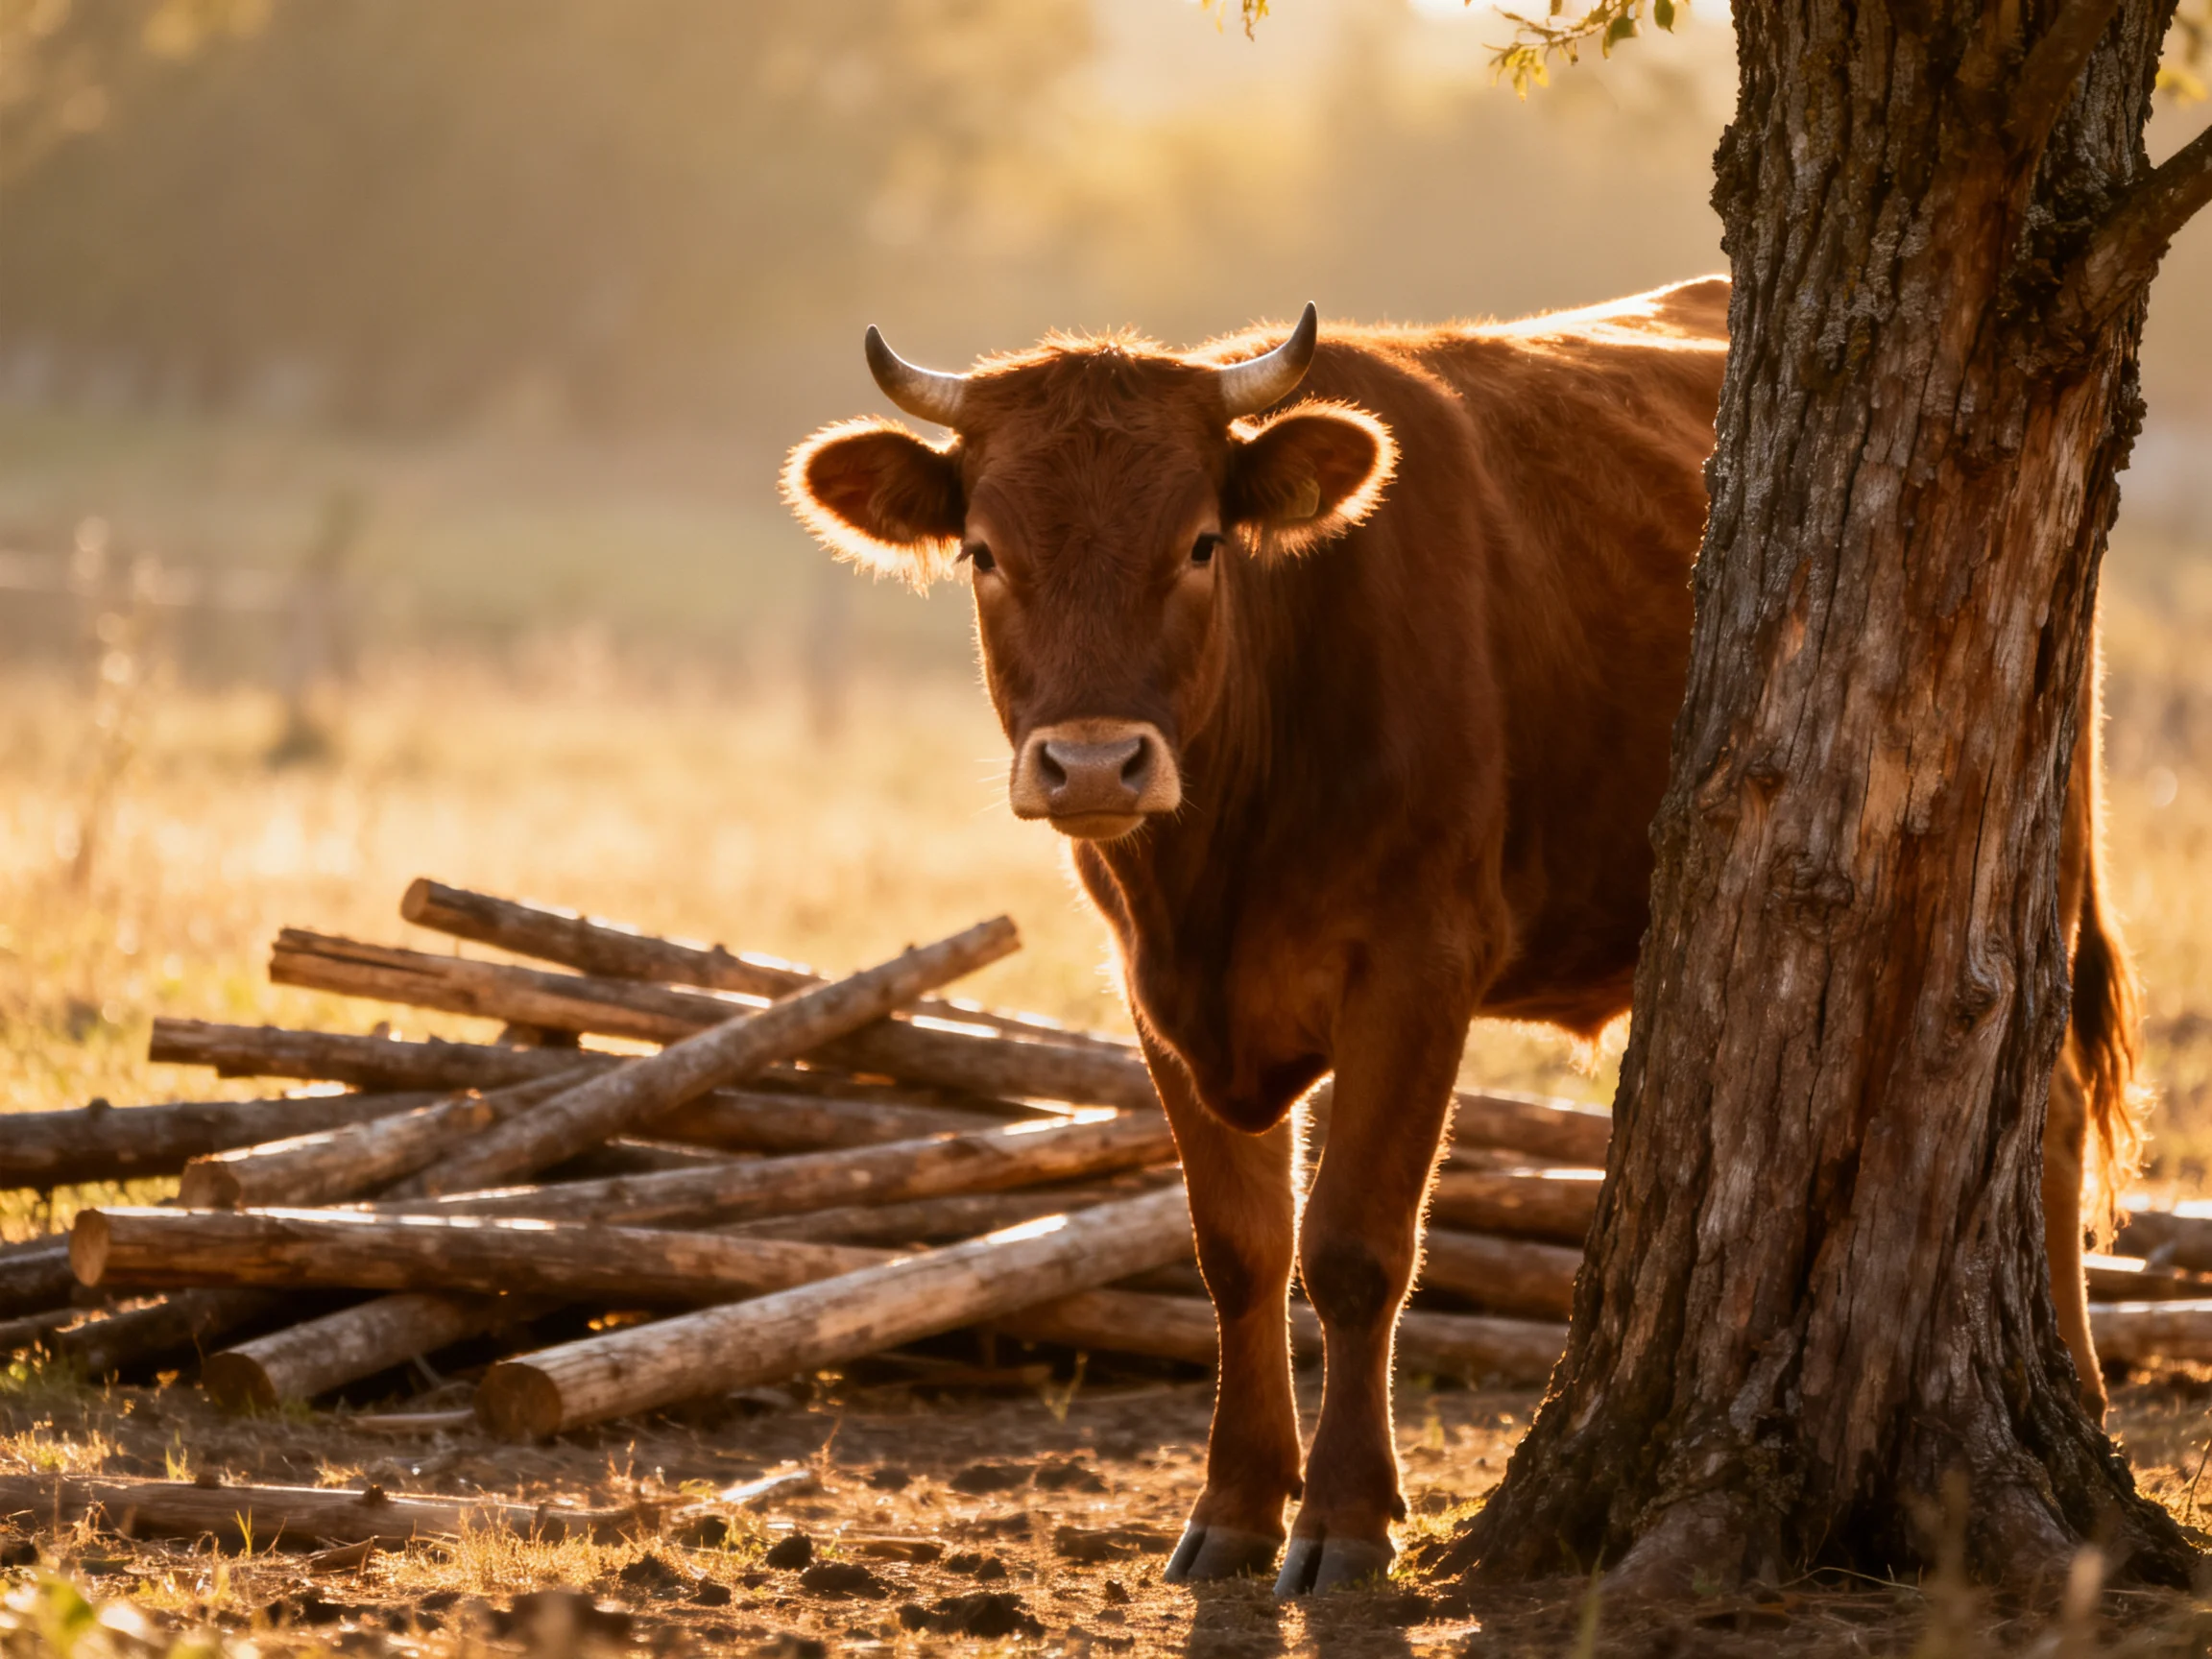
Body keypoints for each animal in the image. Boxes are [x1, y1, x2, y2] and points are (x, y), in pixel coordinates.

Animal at [782, 277, 2143, 1596]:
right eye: (985, 551)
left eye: (1201, 543)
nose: (1093, 763)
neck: (1222, 858)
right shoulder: (1156, 996)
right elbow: (1238, 1252)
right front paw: (1234, 1509)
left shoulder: (1419, 963)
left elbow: (1354, 1246)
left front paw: (1342, 1521)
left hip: (2037, 850)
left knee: (2048, 1109)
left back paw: (2076, 1392)